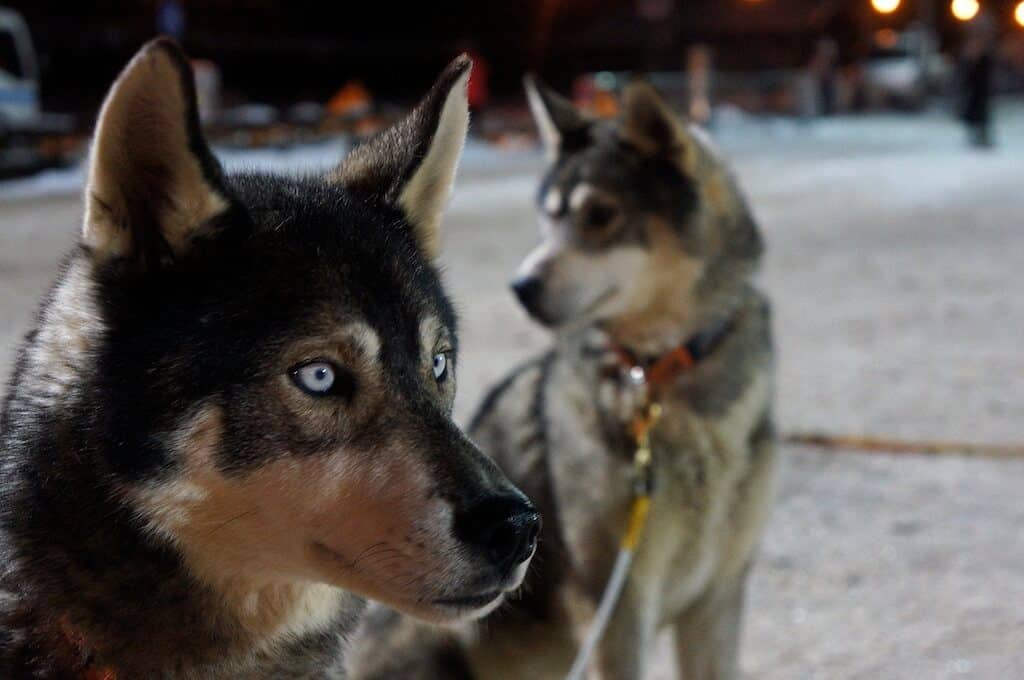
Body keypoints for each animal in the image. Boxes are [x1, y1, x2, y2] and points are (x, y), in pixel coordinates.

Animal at [348, 78, 770, 680]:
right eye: (548, 220)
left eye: (600, 214)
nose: (520, 286)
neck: (659, 376)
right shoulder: (614, 604)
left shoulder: (718, 596)